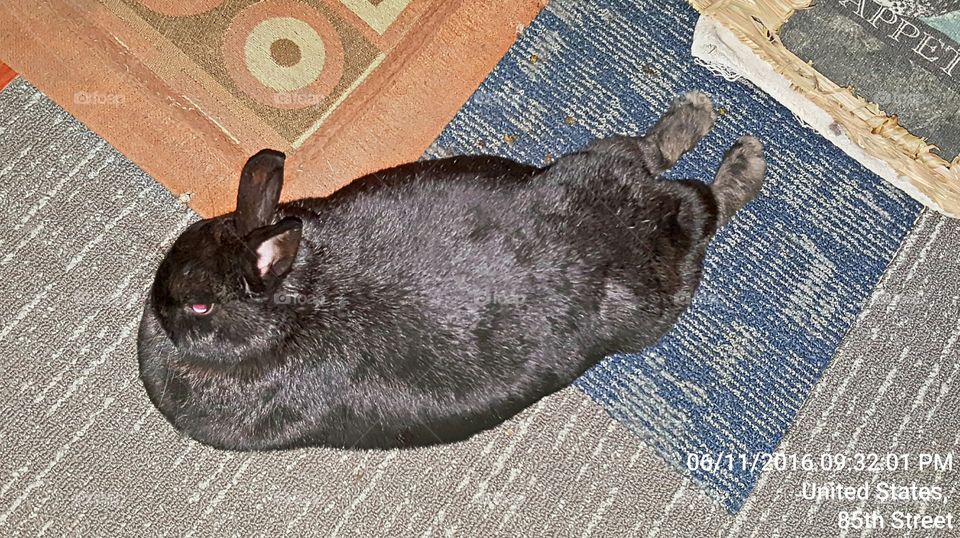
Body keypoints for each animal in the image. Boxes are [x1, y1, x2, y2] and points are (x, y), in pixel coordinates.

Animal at [137, 91, 765, 451]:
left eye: (201, 305)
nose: (161, 307)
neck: (293, 307)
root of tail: (653, 213)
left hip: (655, 302)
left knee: (706, 205)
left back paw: (745, 161)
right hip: (595, 165)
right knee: (658, 159)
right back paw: (701, 115)